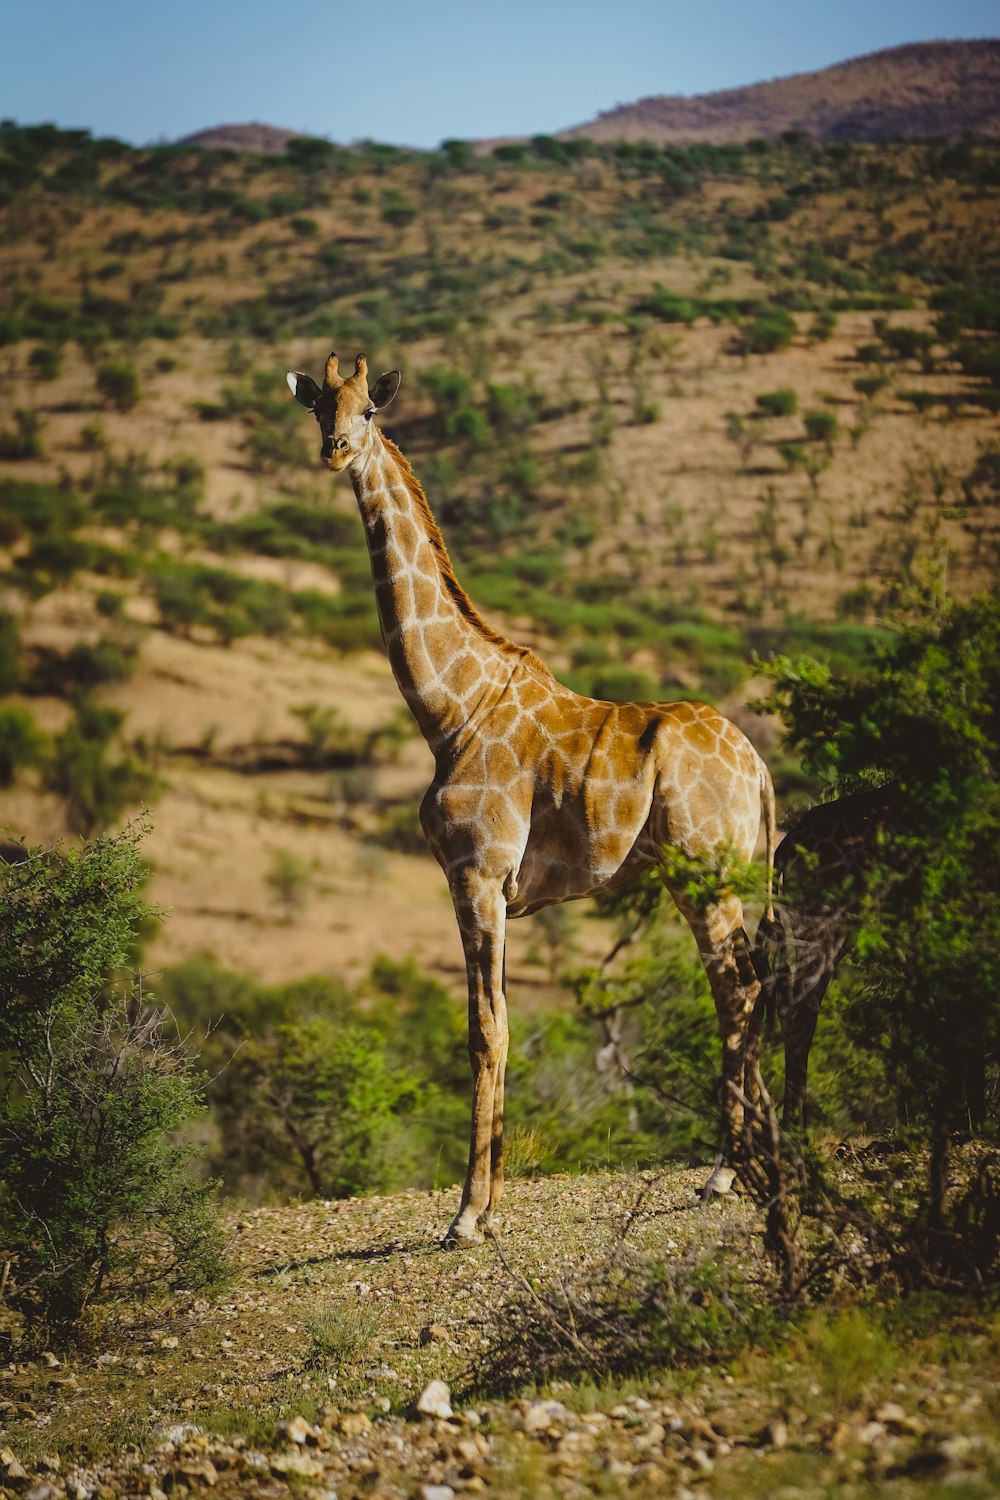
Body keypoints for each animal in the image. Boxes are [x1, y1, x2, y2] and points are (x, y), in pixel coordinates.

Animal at [284, 354, 779, 1242]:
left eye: (370, 409)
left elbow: (484, 1032)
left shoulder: (475, 873)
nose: (336, 450)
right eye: (319, 408)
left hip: (704, 871)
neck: (449, 708)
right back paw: (750, 1159)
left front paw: (464, 1217)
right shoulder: (499, 889)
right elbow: (505, 1025)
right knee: (748, 984)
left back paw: (725, 1173)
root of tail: (756, 766)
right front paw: (492, 1209)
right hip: (707, 878)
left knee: (740, 990)